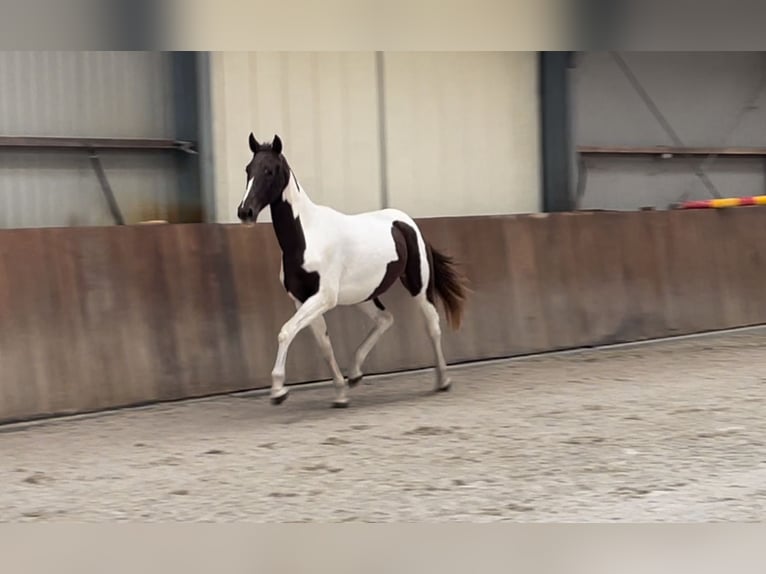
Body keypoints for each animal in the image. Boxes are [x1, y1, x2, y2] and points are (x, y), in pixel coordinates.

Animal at [238, 133, 468, 410]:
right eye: (248, 169)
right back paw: (356, 373)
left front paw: (278, 391)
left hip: (419, 287)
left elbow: (285, 332)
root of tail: (409, 224)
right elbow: (323, 345)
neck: (306, 237)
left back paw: (443, 380)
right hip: (364, 296)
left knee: (432, 326)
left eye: (269, 170)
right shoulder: (302, 300)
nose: (245, 212)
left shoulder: (324, 297)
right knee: (385, 319)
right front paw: (340, 394)